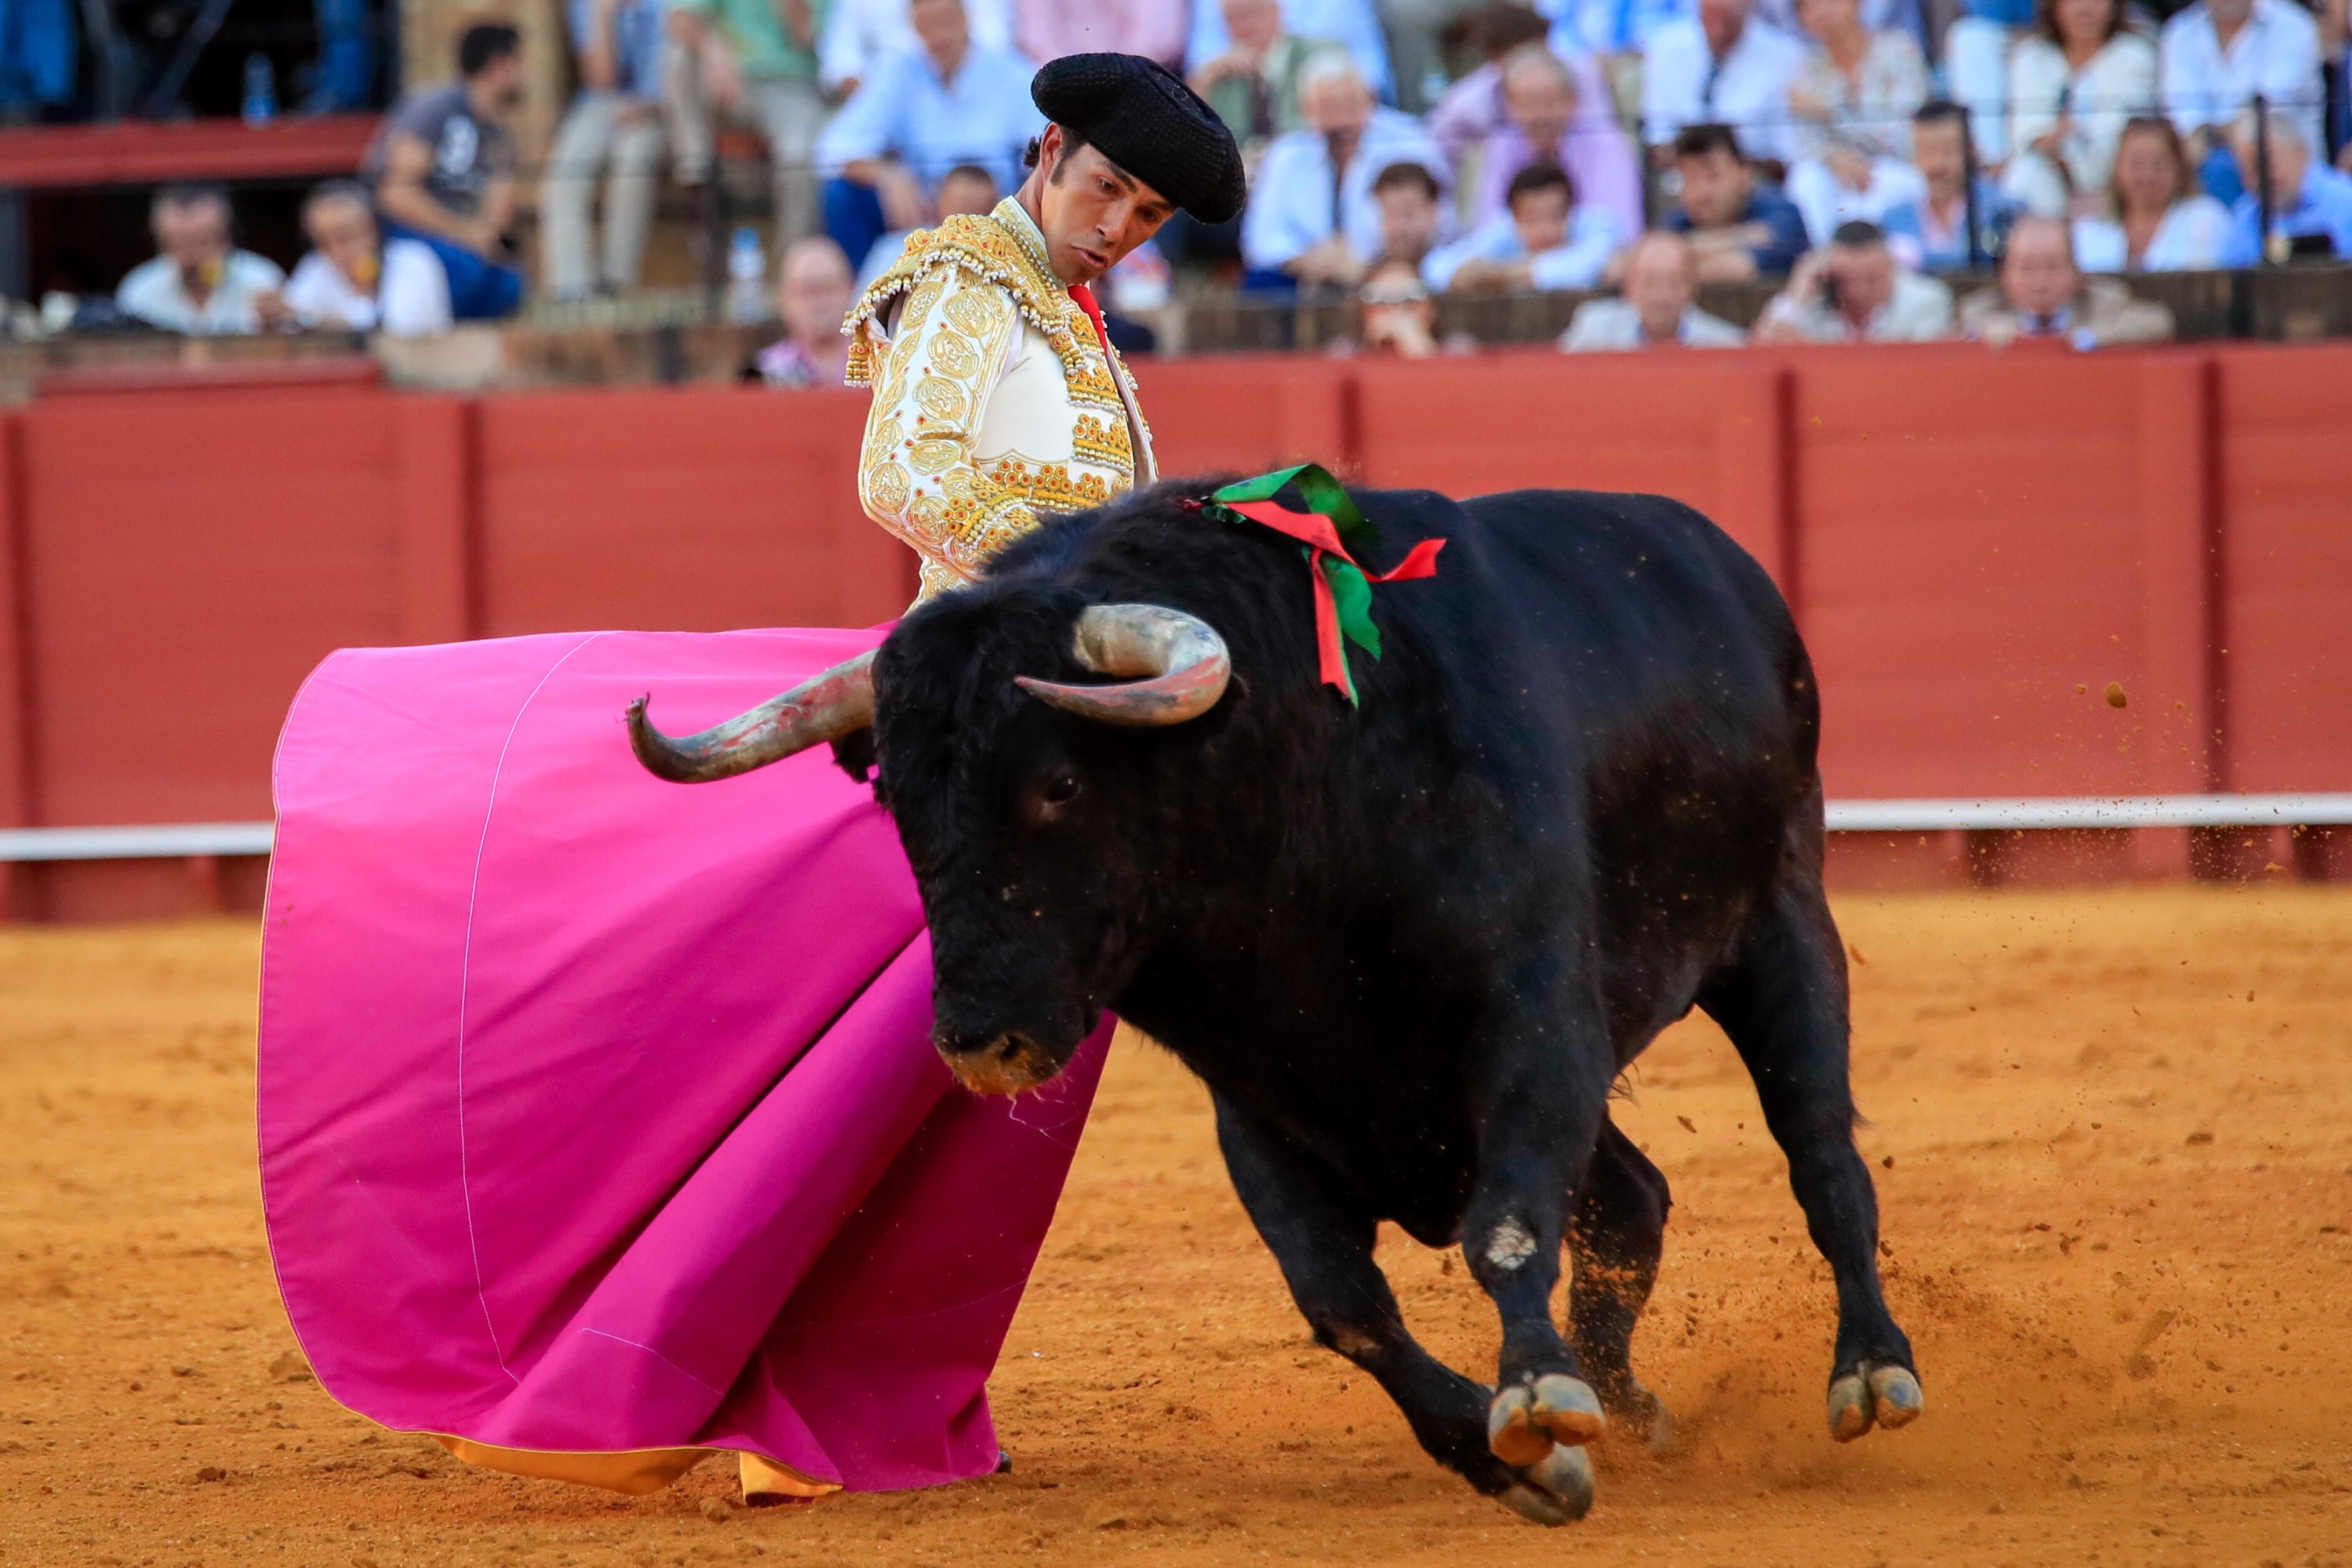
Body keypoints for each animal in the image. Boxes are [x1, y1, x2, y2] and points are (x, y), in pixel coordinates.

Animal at [635, 484, 1919, 1523]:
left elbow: (1508, 1222)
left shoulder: (1535, 1017)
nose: (979, 1040)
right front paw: (1521, 1459)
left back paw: (1868, 1369)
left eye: (1059, 782)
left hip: (1781, 919)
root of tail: (1717, 561)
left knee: (1820, 1154)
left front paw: (1537, 1392)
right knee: (1633, 1197)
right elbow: (1342, 1300)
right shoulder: (1258, 1095)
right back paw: (1634, 1403)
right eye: (895, 799)